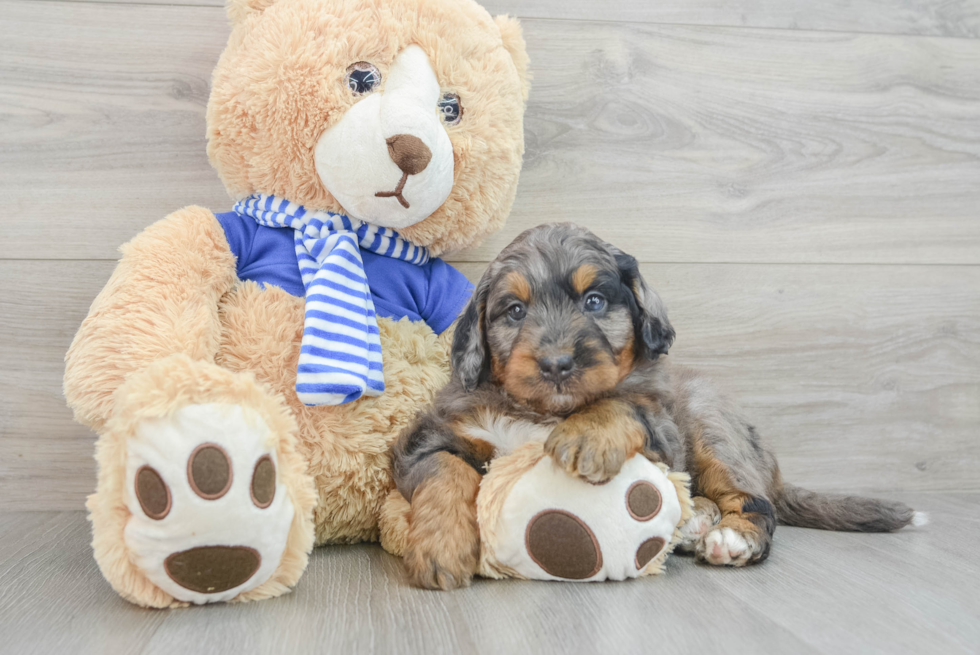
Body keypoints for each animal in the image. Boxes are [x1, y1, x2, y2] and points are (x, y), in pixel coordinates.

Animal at [388, 223, 920, 592]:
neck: (547, 410)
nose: (557, 364)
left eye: (595, 301)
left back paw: (732, 537)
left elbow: (623, 401)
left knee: (755, 501)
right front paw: (441, 547)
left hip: (709, 424)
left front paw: (587, 433)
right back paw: (696, 521)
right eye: (514, 311)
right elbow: (445, 472)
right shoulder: (427, 439)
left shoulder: (661, 432)